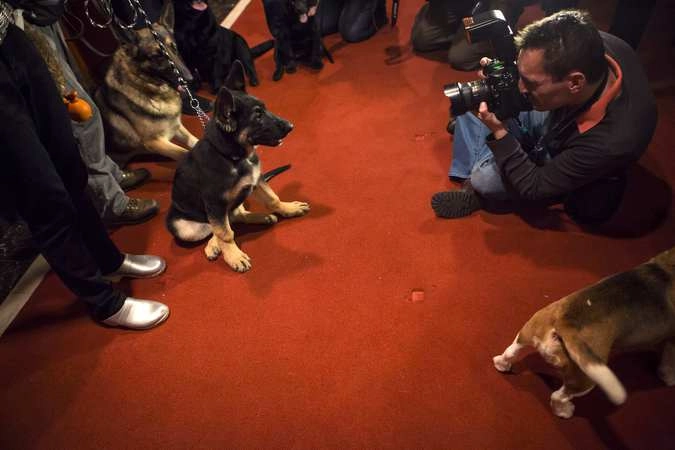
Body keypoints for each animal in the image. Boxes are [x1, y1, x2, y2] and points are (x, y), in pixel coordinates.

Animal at [96, 0, 199, 166]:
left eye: (174, 48)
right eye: (158, 56)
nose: (190, 79)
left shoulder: (177, 127)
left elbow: (196, 142)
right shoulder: (155, 142)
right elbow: (185, 153)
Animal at [168, 61, 310, 272]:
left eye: (265, 109)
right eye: (258, 117)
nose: (291, 126)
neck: (232, 157)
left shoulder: (256, 182)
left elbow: (272, 199)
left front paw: (287, 208)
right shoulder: (215, 204)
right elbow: (225, 233)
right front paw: (233, 256)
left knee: (235, 216)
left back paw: (261, 217)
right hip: (182, 226)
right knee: (218, 226)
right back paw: (214, 245)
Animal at [494, 246, 672, 418]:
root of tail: (566, 321)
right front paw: (668, 378)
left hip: (528, 331)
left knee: (510, 352)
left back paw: (502, 364)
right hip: (585, 380)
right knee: (558, 396)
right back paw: (564, 411)